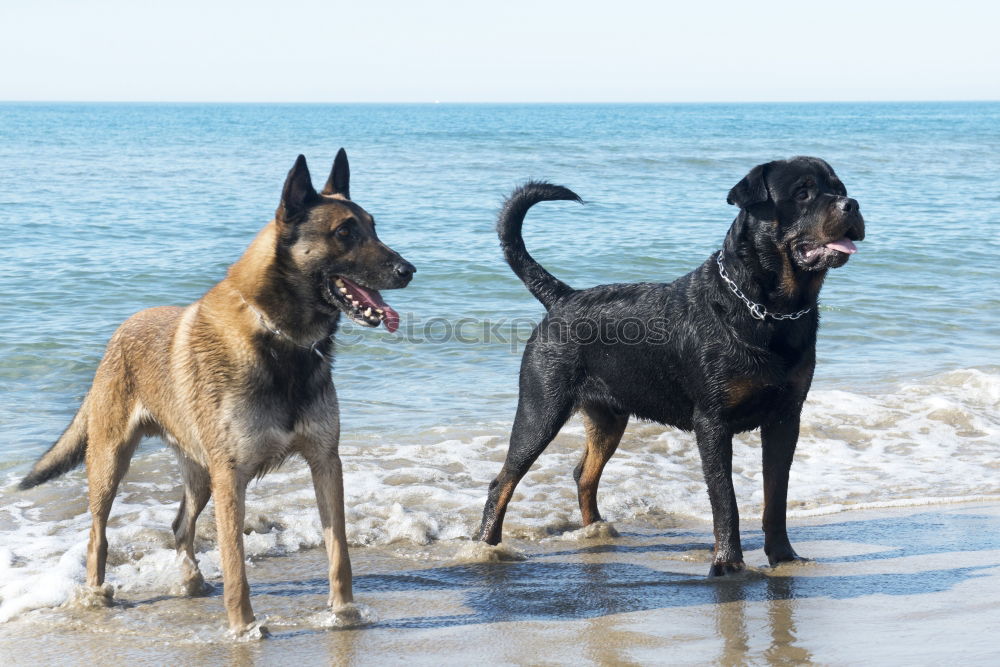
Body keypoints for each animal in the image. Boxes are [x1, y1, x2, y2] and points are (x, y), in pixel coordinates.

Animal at [18, 150, 414, 632]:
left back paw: (190, 580)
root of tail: (121, 331)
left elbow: (338, 549)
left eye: (374, 227)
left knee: (179, 526)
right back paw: (96, 595)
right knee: (98, 535)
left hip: (200, 473)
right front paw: (243, 627)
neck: (279, 339)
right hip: (112, 464)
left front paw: (343, 612)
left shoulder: (325, 462)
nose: (409, 270)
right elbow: (235, 562)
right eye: (344, 232)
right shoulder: (232, 477)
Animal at [474, 155, 860, 576]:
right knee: (504, 480)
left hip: (608, 416)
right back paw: (486, 547)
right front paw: (727, 562)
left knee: (584, 474)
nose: (852, 204)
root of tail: (564, 297)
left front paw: (783, 556)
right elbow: (725, 498)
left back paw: (596, 532)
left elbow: (776, 495)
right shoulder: (712, 422)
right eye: (803, 193)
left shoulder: (785, 417)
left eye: (839, 188)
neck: (768, 310)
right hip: (541, 406)